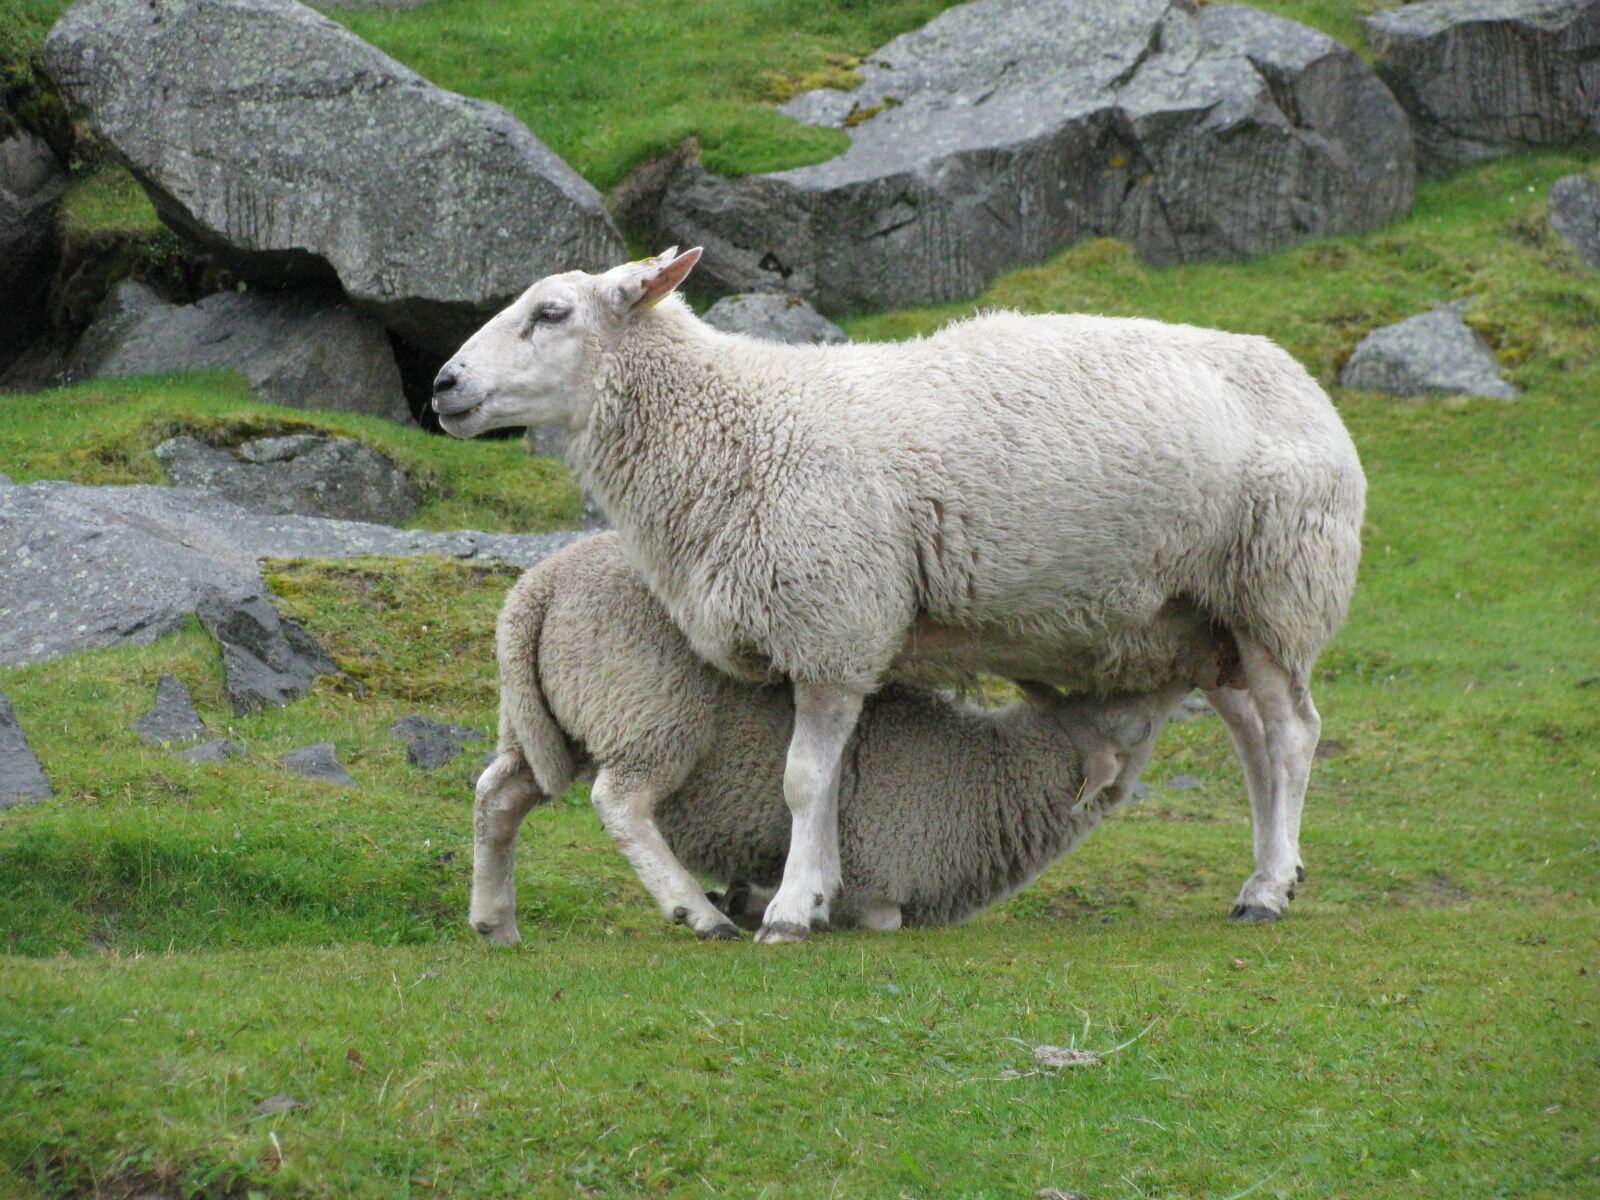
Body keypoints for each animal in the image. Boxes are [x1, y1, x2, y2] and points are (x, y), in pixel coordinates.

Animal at [467, 531, 1184, 947]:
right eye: (1141, 724)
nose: (1177, 678)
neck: (985, 776)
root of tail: (537, 590)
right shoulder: (879, 874)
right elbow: (877, 915)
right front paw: (763, 907)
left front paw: (752, 897)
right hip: (647, 713)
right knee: (621, 804)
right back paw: (698, 913)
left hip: (550, 720)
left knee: (497, 795)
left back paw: (494, 920)